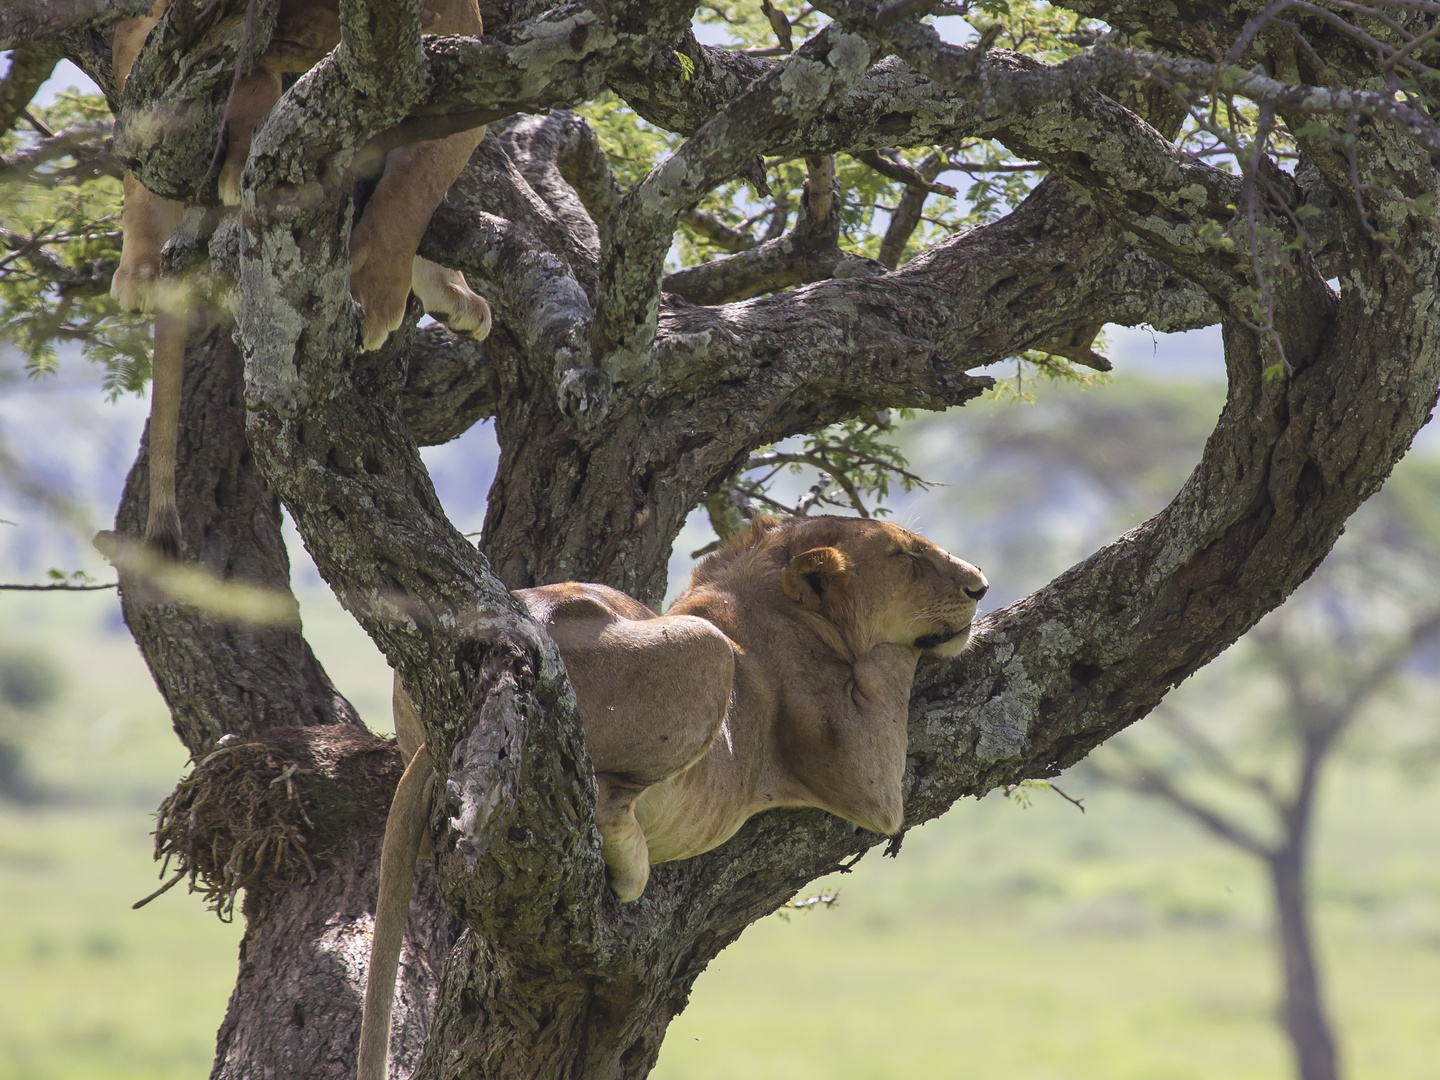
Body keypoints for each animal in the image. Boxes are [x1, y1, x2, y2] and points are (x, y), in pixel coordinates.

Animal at [360, 518, 990, 1080]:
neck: (775, 608)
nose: (981, 586)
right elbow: (893, 668)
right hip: (705, 653)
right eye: (907, 557)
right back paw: (632, 865)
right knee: (608, 799)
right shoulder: (864, 774)